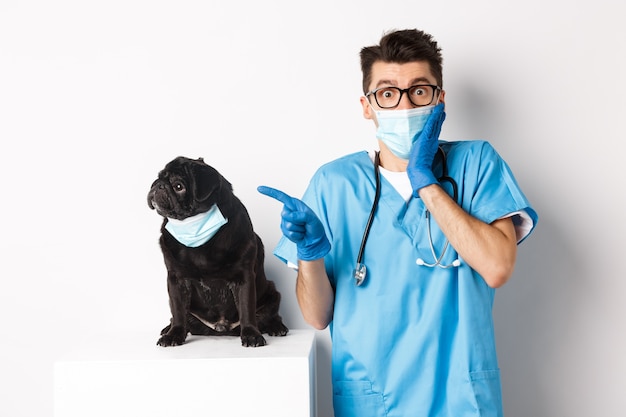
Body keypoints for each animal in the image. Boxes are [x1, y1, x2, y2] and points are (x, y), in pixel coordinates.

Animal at [147, 154, 286, 346]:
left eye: (178, 186)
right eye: (159, 177)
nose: (157, 184)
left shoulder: (244, 278)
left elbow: (247, 309)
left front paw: (251, 334)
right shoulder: (176, 280)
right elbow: (178, 311)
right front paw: (174, 334)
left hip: (273, 293)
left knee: (270, 315)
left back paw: (277, 327)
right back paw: (168, 328)